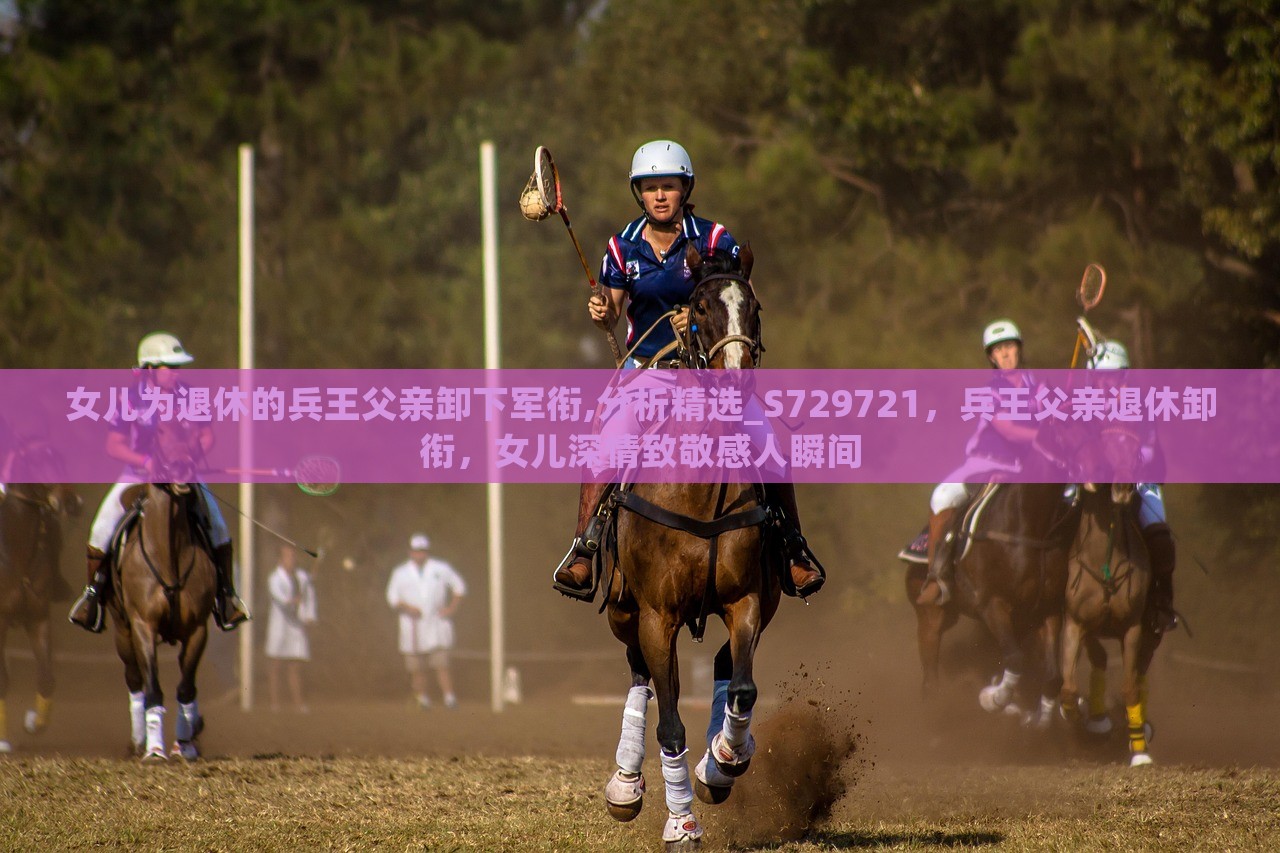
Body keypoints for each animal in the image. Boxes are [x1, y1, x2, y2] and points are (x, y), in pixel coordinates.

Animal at [0, 440, 81, 747]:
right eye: (35, 462)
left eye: (62, 459)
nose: (71, 503)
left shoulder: (38, 617)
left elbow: (47, 678)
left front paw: (35, 722)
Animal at [110, 417, 215, 758]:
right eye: (161, 431)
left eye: (194, 429)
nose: (182, 467)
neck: (168, 553)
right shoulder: (143, 623)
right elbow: (153, 687)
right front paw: (155, 750)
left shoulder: (197, 628)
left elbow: (186, 687)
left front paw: (186, 744)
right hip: (122, 628)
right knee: (135, 679)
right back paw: (138, 741)